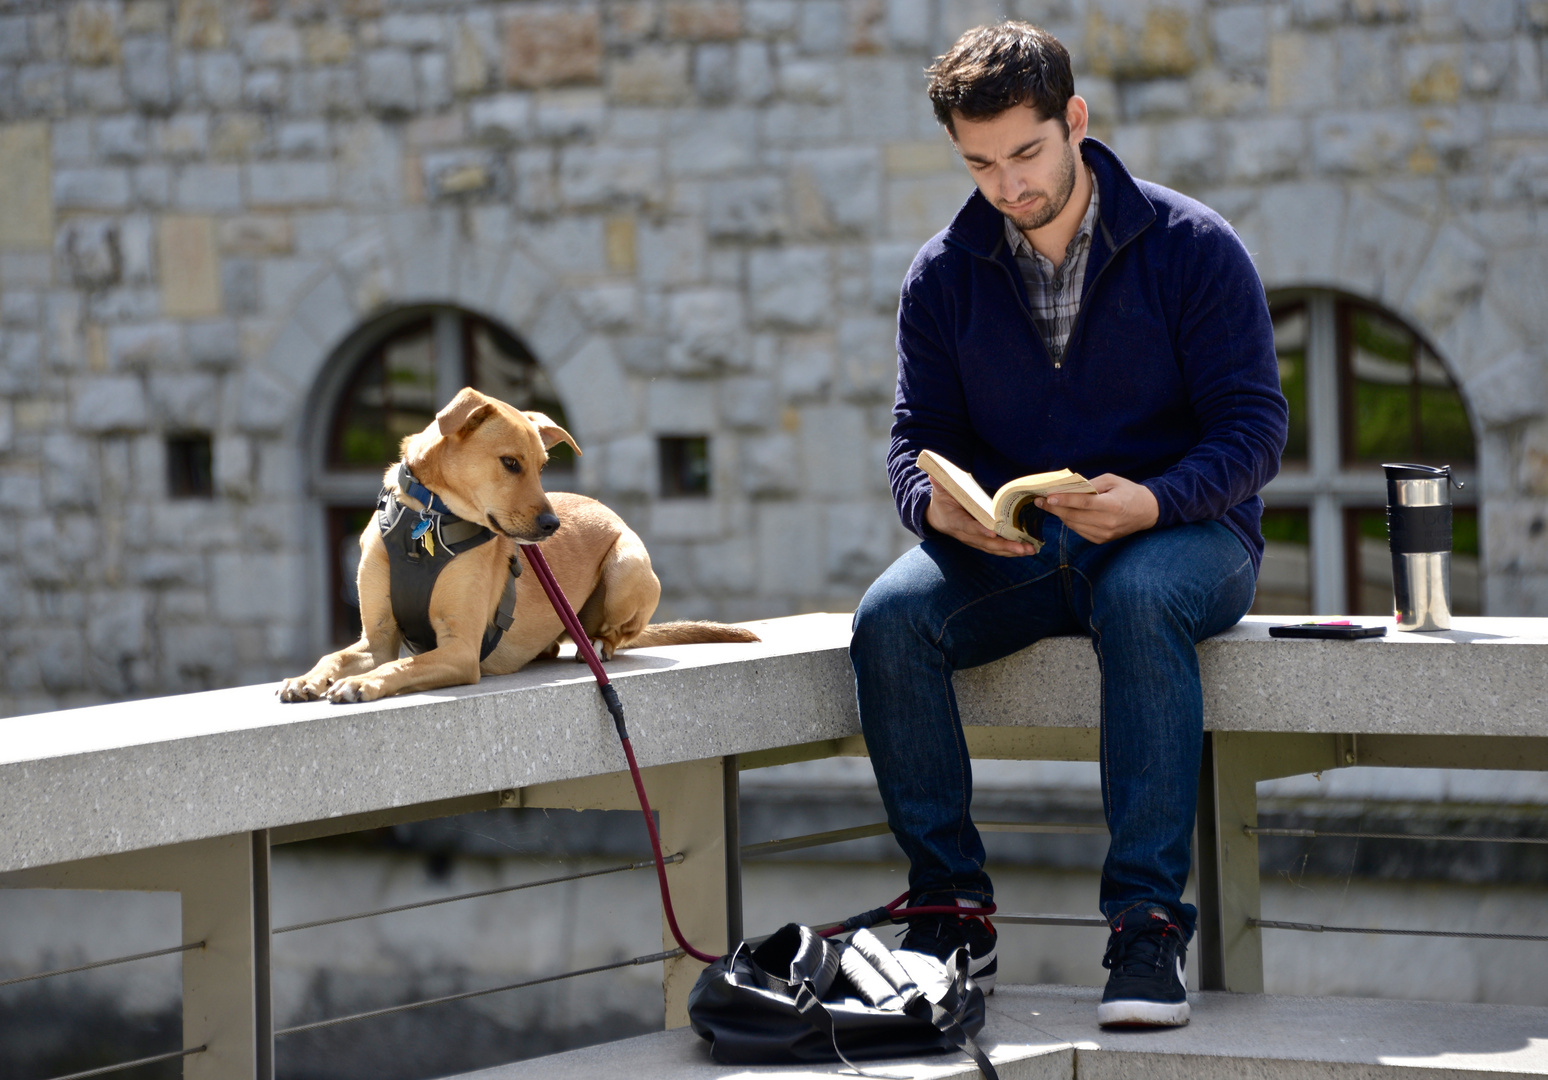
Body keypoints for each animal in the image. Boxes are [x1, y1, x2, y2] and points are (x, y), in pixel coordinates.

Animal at [283, 385, 761, 699]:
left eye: (543, 466)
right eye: (511, 463)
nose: (552, 525)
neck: (426, 521)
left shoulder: (460, 649)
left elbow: (406, 662)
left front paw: (363, 682)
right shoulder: (377, 637)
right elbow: (338, 656)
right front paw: (309, 678)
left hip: (628, 568)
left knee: (618, 634)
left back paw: (597, 647)